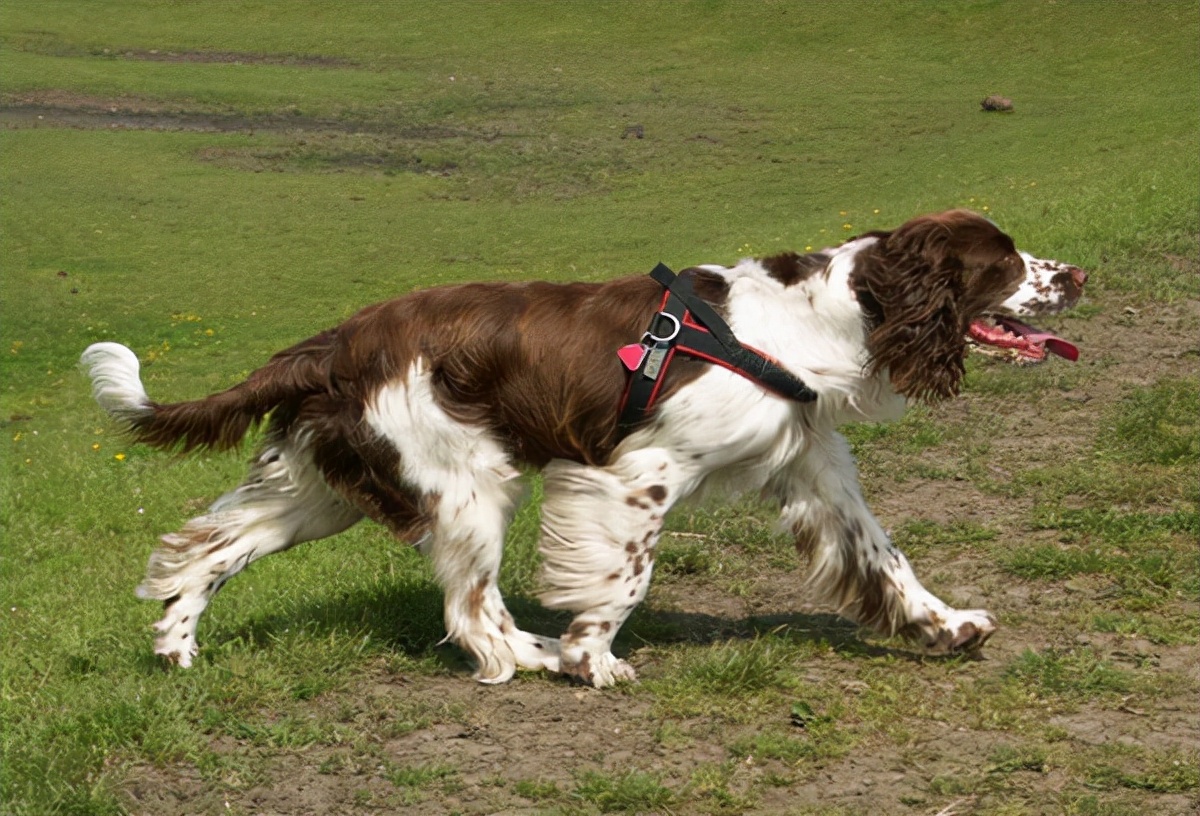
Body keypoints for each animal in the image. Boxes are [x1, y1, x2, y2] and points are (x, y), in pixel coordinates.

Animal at [79, 207, 1084, 686]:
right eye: (1003, 262)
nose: (1074, 274)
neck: (816, 320)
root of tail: (337, 340)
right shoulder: (637, 472)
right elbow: (626, 579)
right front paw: (593, 657)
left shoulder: (817, 470)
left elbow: (888, 560)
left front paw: (947, 627)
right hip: (468, 483)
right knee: (472, 613)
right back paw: (534, 656)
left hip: (328, 486)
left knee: (205, 550)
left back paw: (175, 650)